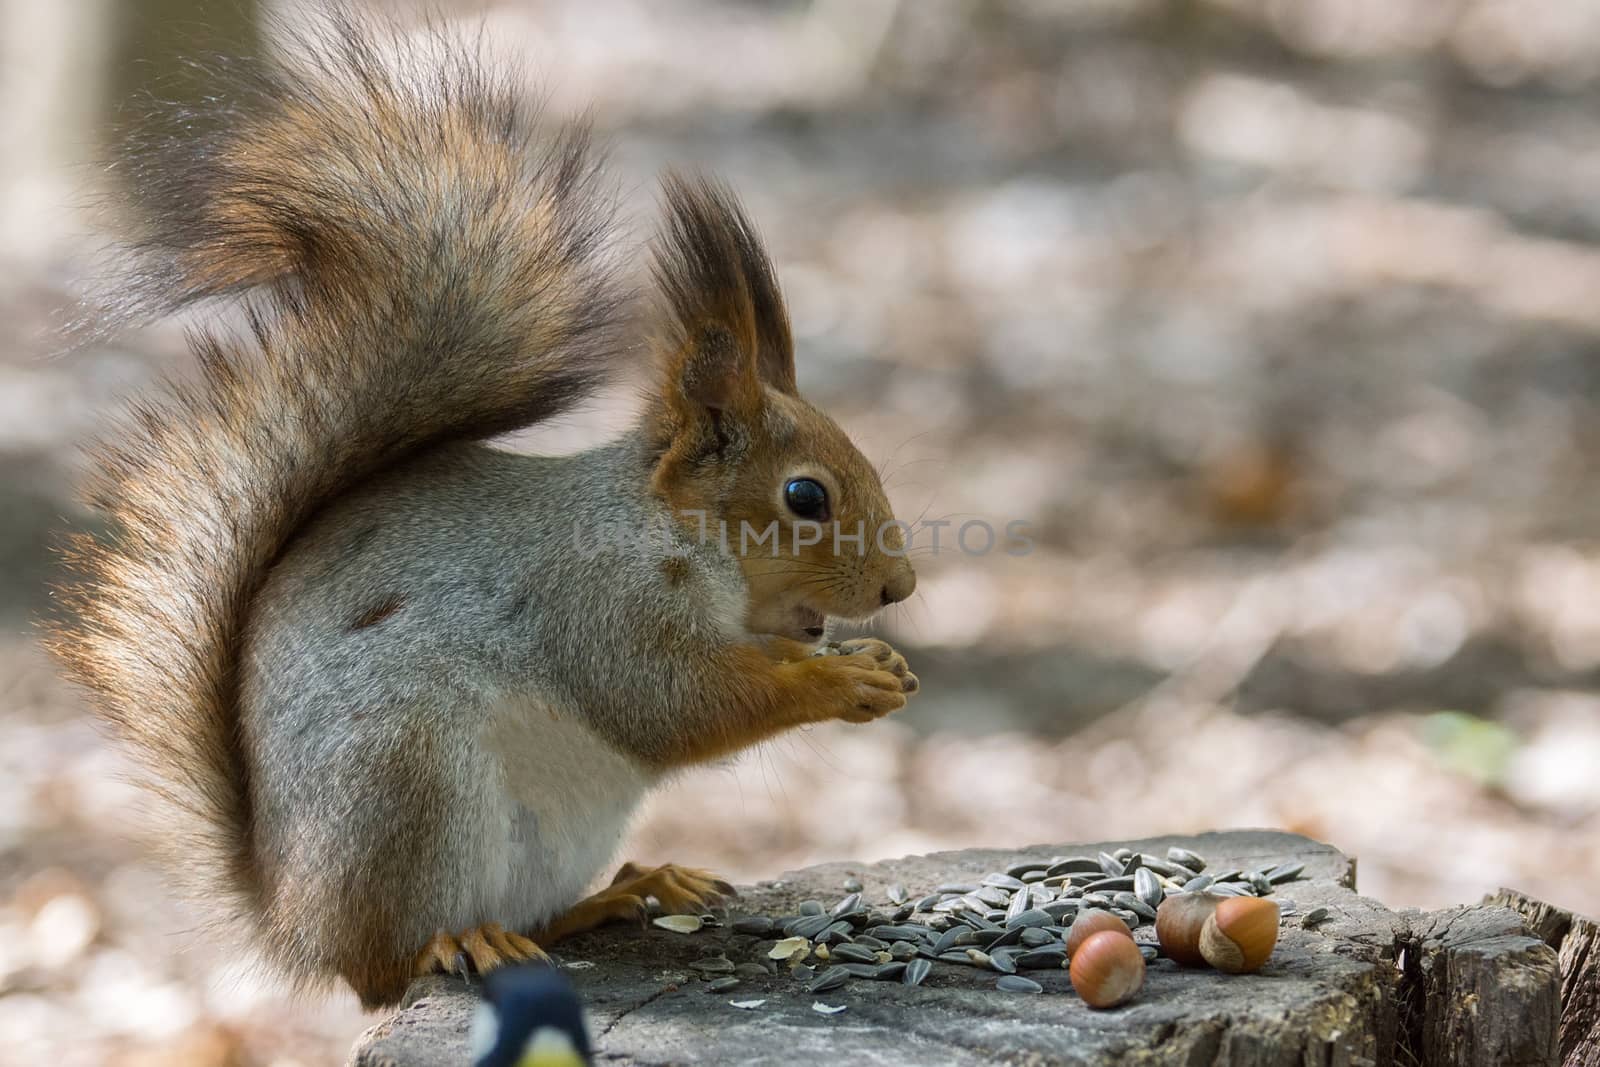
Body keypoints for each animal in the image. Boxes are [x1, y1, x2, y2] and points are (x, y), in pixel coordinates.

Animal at [46, 20, 915, 1017]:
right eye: (805, 497)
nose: (901, 586)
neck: (676, 536)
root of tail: (293, 922)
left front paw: (875, 661)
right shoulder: (597, 599)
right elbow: (674, 700)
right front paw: (842, 679)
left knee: (531, 920)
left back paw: (625, 890)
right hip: (406, 783)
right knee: (386, 966)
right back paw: (455, 941)